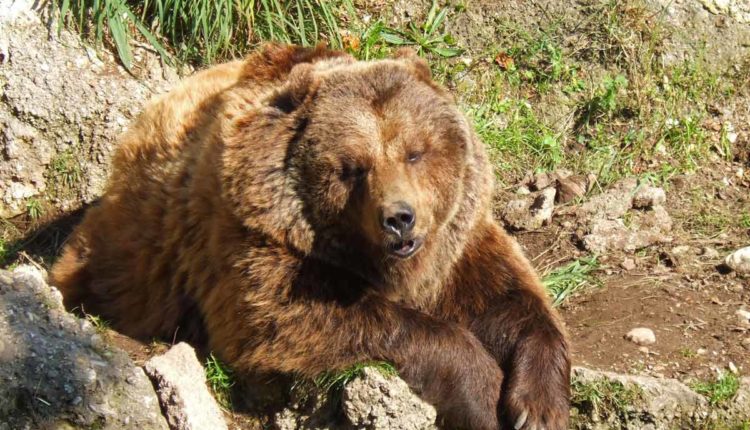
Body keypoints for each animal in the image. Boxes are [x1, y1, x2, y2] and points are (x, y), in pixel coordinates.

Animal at [51, 44, 570, 430]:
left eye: (415, 152)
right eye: (353, 167)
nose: (399, 218)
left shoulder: (455, 245)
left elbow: (512, 301)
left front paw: (536, 408)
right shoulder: (259, 242)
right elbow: (296, 317)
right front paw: (482, 394)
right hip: (134, 246)